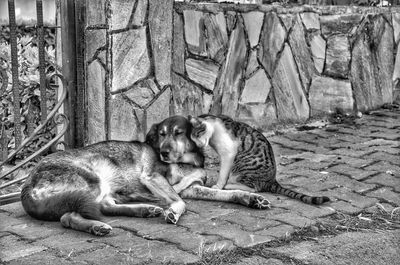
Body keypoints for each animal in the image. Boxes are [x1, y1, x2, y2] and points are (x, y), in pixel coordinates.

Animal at [189, 114, 330, 204]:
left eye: (197, 135)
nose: (199, 145)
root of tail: (272, 181)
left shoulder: (228, 153)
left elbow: (223, 173)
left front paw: (218, 185)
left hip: (242, 167)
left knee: (254, 188)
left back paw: (229, 185)